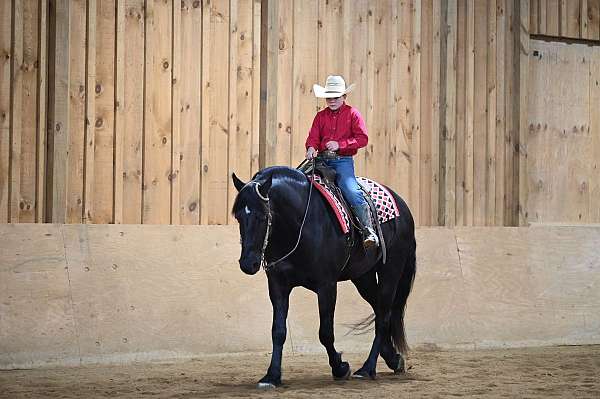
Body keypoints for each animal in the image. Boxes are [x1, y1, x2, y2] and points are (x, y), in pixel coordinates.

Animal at [232, 165, 414, 388]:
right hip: (364, 277)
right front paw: (272, 376)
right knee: (380, 311)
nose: (248, 263)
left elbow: (325, 332)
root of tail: (403, 207)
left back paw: (367, 368)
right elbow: (278, 331)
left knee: (383, 317)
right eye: (238, 216)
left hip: (391, 271)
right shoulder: (277, 285)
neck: (299, 224)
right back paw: (394, 359)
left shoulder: (327, 286)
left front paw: (340, 367)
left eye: (262, 215)